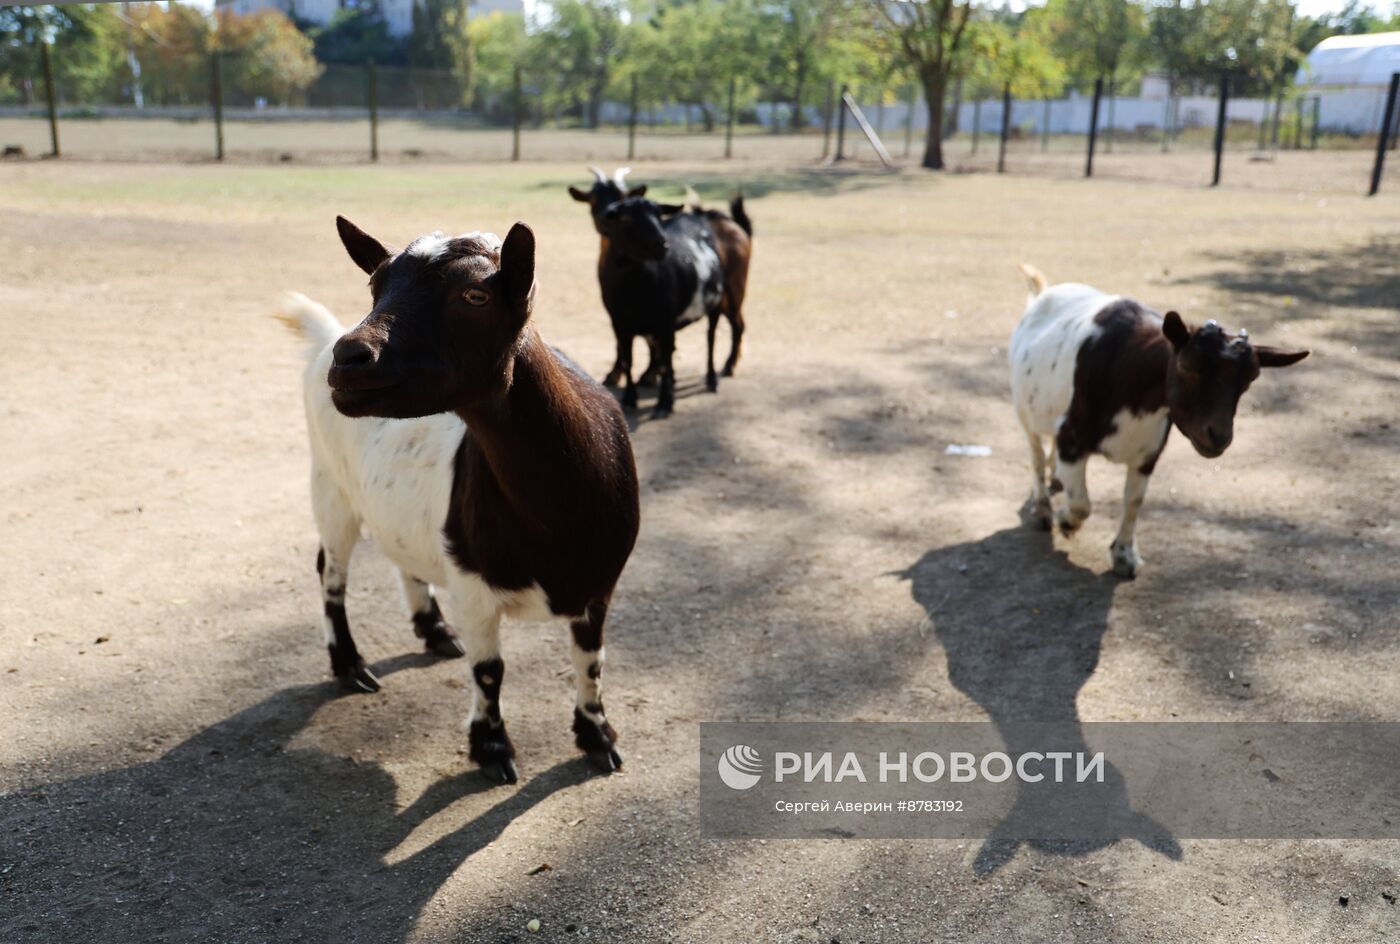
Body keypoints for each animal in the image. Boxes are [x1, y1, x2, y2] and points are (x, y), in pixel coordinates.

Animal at [278, 215, 641, 778]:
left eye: (475, 295)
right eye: (375, 286)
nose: (350, 358)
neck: (559, 517)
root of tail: (323, 336)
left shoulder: (600, 583)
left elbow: (592, 661)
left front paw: (597, 736)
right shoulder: (473, 584)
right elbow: (490, 670)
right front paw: (491, 748)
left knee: (401, 552)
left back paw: (433, 630)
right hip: (329, 485)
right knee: (330, 570)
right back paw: (350, 665)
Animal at [565, 168, 750, 414]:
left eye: (658, 215)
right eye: (625, 217)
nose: (661, 243)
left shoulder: (665, 321)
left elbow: (665, 359)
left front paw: (664, 401)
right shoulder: (620, 321)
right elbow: (629, 357)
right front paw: (630, 395)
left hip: (727, 295)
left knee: (718, 334)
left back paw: (718, 373)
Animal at [1013, 263, 1304, 574]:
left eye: (1251, 378)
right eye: (1187, 366)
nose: (1218, 436)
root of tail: (1044, 294)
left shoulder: (1149, 452)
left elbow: (1134, 501)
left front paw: (1124, 556)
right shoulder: (1072, 439)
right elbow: (1081, 503)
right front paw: (1066, 522)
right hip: (1024, 410)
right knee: (1035, 454)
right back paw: (1043, 508)